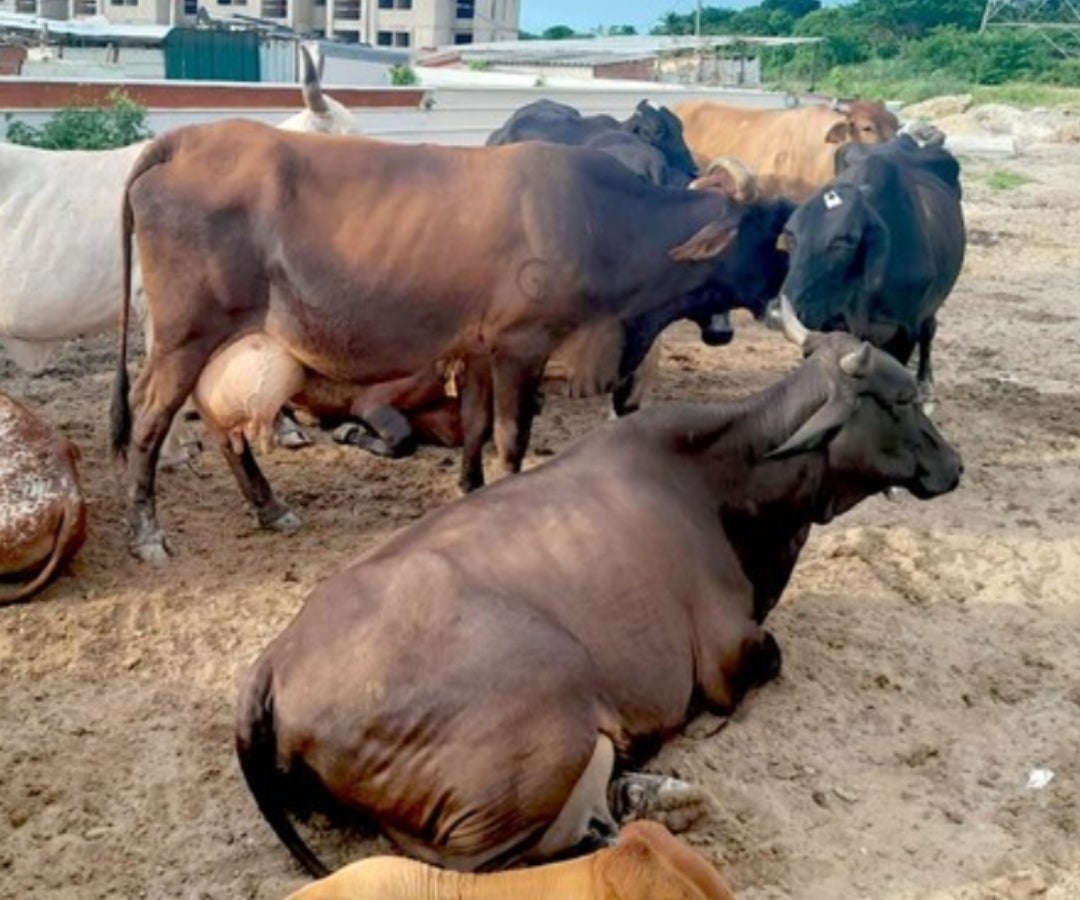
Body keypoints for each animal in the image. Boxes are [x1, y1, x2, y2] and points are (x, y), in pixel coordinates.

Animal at [110, 120, 794, 561]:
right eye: (776, 236)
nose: (785, 291)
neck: (605, 222)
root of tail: (184, 140)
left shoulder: (477, 349)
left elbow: (473, 426)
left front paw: (467, 492)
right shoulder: (522, 344)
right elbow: (510, 438)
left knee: (220, 425)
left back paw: (268, 506)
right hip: (185, 335)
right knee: (149, 418)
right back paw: (146, 534)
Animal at [234, 311, 962, 876]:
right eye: (902, 399)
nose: (955, 465)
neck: (717, 481)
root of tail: (273, 664)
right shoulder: (727, 655)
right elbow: (771, 660)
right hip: (543, 720)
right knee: (487, 863)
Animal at [772, 134, 965, 410]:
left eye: (842, 241)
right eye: (790, 235)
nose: (777, 312)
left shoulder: (904, 330)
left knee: (929, 330)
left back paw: (926, 389)